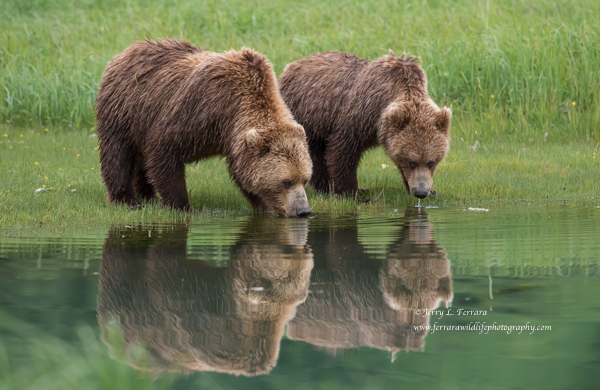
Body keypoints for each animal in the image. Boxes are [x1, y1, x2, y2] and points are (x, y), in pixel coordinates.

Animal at [96, 38, 312, 216]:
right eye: (286, 182)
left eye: (305, 179)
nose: (303, 210)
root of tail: (125, 51)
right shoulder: (200, 110)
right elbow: (164, 150)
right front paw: (184, 206)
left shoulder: (232, 140)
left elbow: (243, 173)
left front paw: (264, 205)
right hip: (124, 110)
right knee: (118, 154)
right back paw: (127, 199)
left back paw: (149, 196)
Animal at [278, 50, 450, 198]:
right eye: (412, 162)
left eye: (431, 162)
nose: (421, 192)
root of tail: (291, 66)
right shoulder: (360, 114)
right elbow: (343, 150)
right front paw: (350, 192)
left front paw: (429, 190)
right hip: (309, 116)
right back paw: (326, 188)